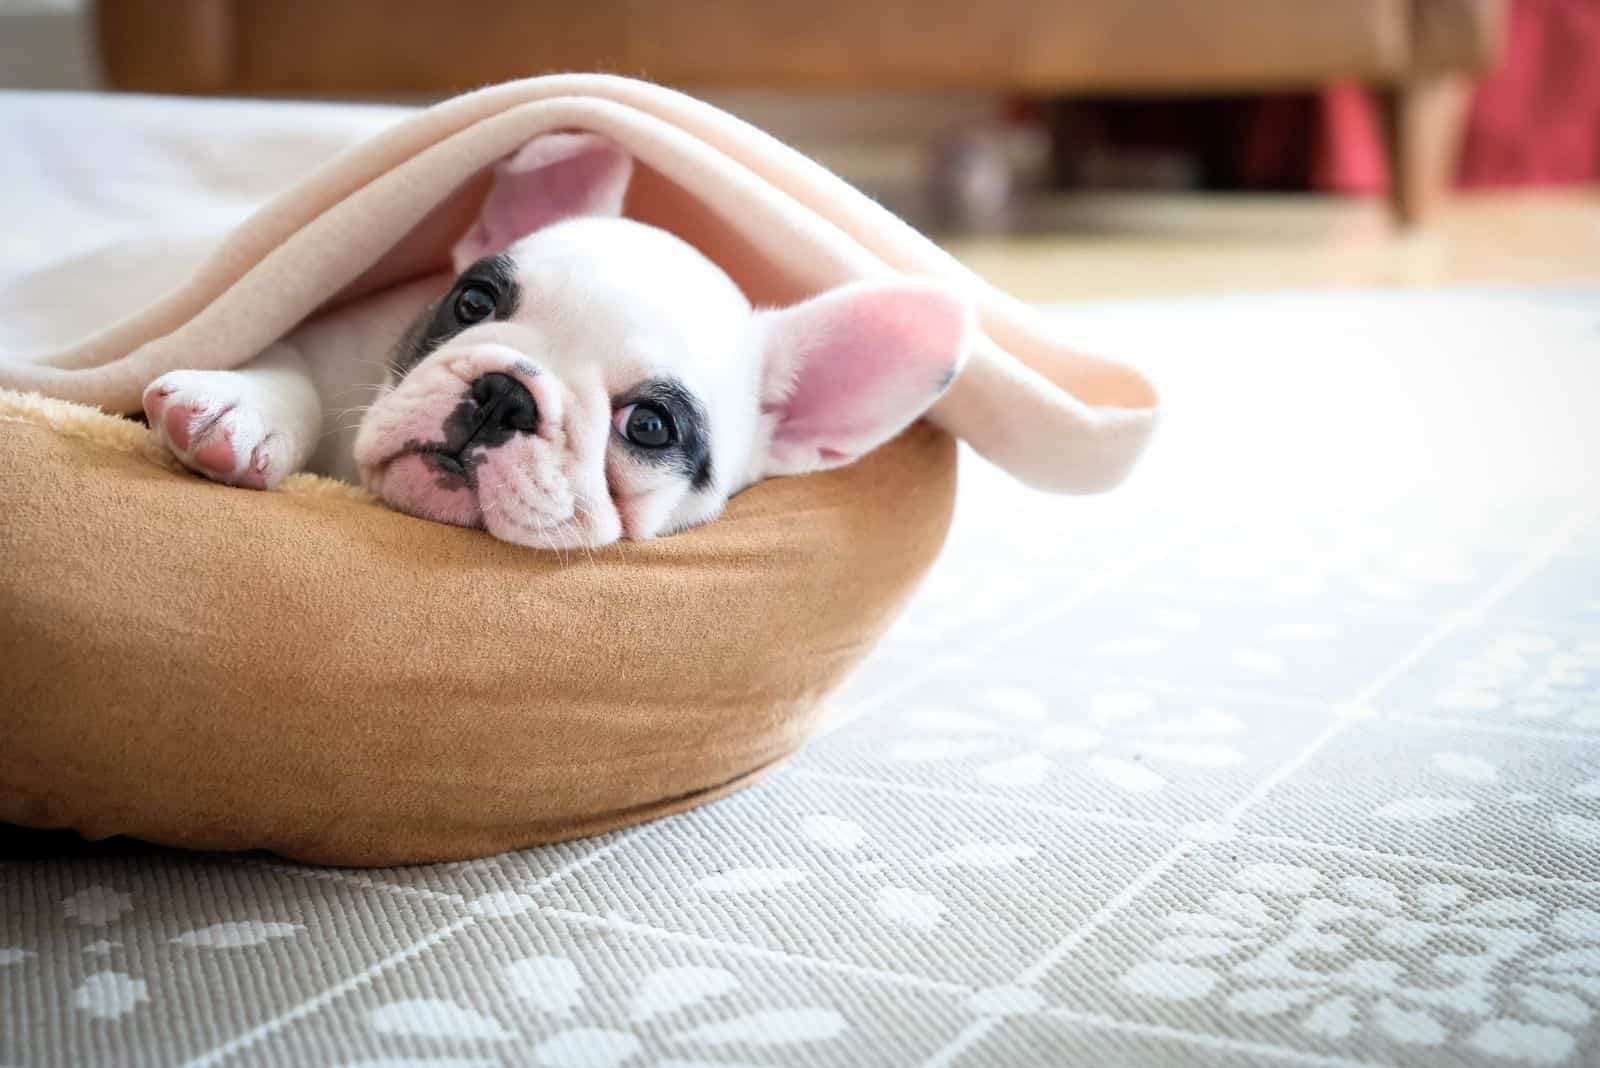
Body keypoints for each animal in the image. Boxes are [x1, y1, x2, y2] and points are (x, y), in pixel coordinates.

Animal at [144, 133, 972, 549]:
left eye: (649, 426)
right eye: (473, 301)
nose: (504, 395)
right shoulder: (326, 333)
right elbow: (288, 365)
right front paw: (235, 410)